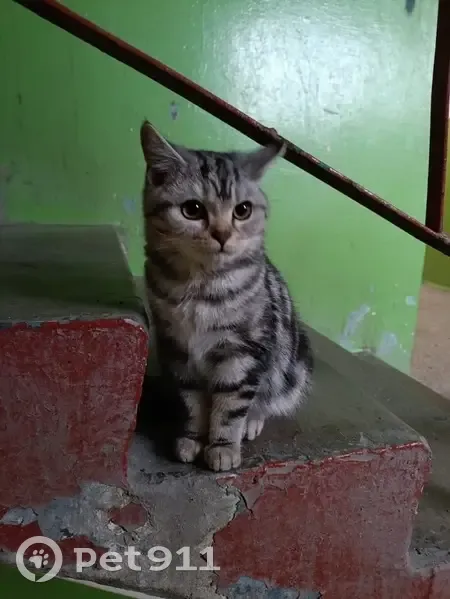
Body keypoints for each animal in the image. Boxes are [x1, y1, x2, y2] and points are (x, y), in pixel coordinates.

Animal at [140, 120, 313, 472]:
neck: (199, 287)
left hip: (291, 367)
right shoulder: (177, 348)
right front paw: (191, 439)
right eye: (192, 209)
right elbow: (191, 401)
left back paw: (252, 422)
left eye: (242, 210)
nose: (222, 234)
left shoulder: (243, 350)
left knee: (267, 399)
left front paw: (222, 447)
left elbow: (231, 404)